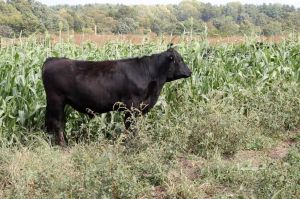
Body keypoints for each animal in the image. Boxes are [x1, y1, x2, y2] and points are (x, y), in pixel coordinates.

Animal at [41, 47, 192, 145]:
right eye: (180, 60)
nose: (190, 72)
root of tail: (51, 60)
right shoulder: (131, 106)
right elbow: (131, 126)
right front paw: (132, 144)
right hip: (56, 100)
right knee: (57, 122)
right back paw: (63, 145)